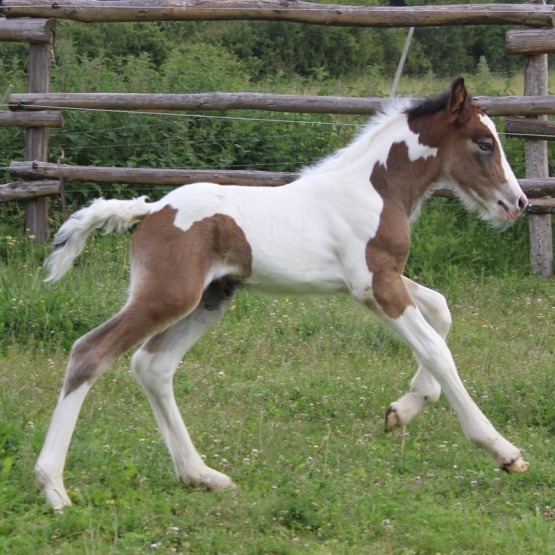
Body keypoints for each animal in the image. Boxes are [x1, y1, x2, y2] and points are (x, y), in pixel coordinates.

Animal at [34, 78, 528, 512]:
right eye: (484, 143)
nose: (518, 202)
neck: (374, 188)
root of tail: (154, 210)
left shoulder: (382, 277)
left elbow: (441, 312)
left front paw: (402, 410)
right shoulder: (375, 285)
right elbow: (438, 351)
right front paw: (503, 451)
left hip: (209, 300)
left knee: (153, 366)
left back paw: (202, 475)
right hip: (168, 296)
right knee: (91, 352)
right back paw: (54, 489)